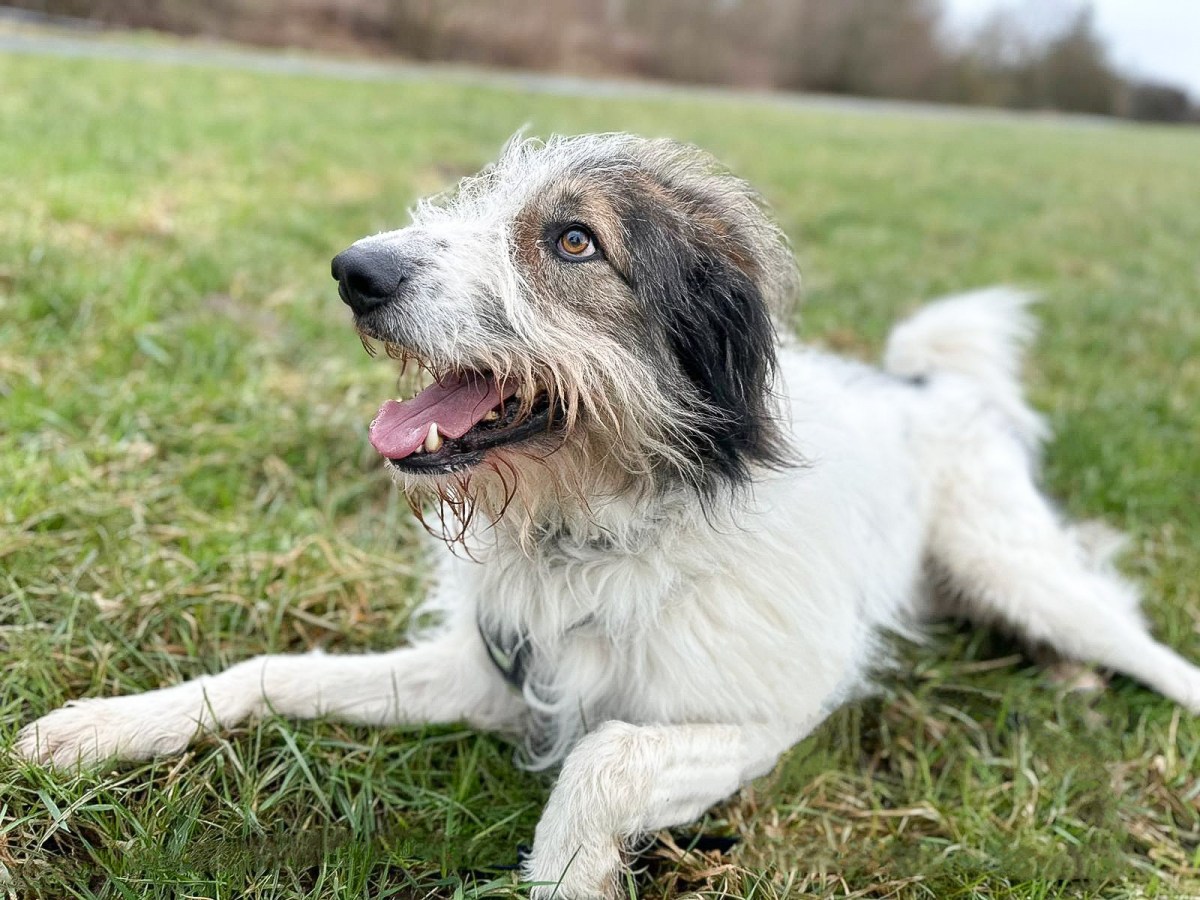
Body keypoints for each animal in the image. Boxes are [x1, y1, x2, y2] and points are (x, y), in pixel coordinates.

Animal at [18, 135, 1200, 900]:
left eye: (574, 242)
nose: (355, 271)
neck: (602, 528)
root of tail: (926, 381)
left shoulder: (758, 716)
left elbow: (601, 760)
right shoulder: (489, 671)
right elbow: (275, 672)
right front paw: (103, 727)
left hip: (1010, 562)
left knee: (1138, 641)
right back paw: (1069, 679)